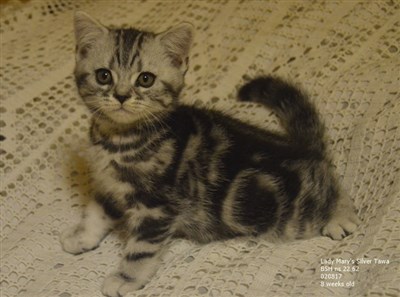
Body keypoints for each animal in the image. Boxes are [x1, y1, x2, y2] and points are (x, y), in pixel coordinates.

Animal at [61, 12, 360, 296]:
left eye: (145, 79)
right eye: (104, 76)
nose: (122, 96)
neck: (118, 139)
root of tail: (302, 147)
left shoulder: (156, 207)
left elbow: (141, 249)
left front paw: (125, 278)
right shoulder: (108, 185)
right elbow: (94, 213)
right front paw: (81, 237)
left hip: (289, 216)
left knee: (333, 186)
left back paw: (340, 217)